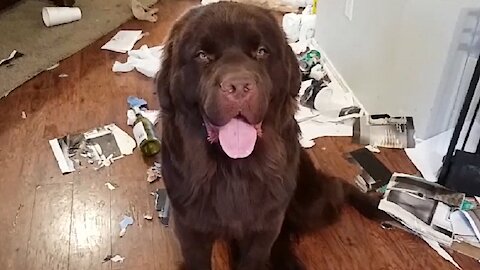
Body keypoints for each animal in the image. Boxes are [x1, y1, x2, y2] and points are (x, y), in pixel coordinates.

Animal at [158, 2, 386, 270]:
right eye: (202, 55)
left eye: (261, 51)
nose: (238, 87)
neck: (233, 171)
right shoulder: (191, 227)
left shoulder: (265, 226)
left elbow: (253, 259)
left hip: (309, 205)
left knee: (336, 186)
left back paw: (375, 207)